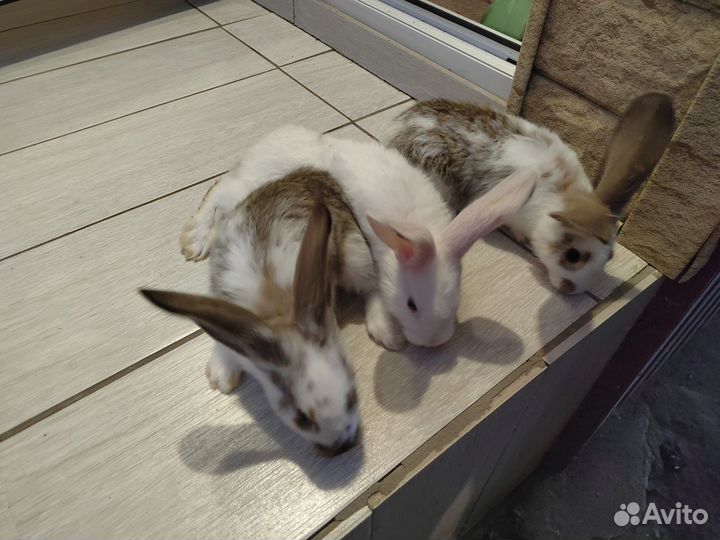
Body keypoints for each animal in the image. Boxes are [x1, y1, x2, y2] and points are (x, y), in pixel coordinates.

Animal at [143, 170, 370, 456]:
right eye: (302, 418)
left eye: (352, 396)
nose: (343, 447)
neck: (276, 309)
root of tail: (310, 173)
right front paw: (220, 377)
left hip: (356, 257)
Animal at [181, 125, 535, 350]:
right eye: (412, 304)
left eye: (456, 297)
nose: (434, 343)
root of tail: (266, 142)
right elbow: (374, 288)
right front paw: (388, 333)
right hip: (245, 187)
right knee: (216, 194)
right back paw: (193, 242)